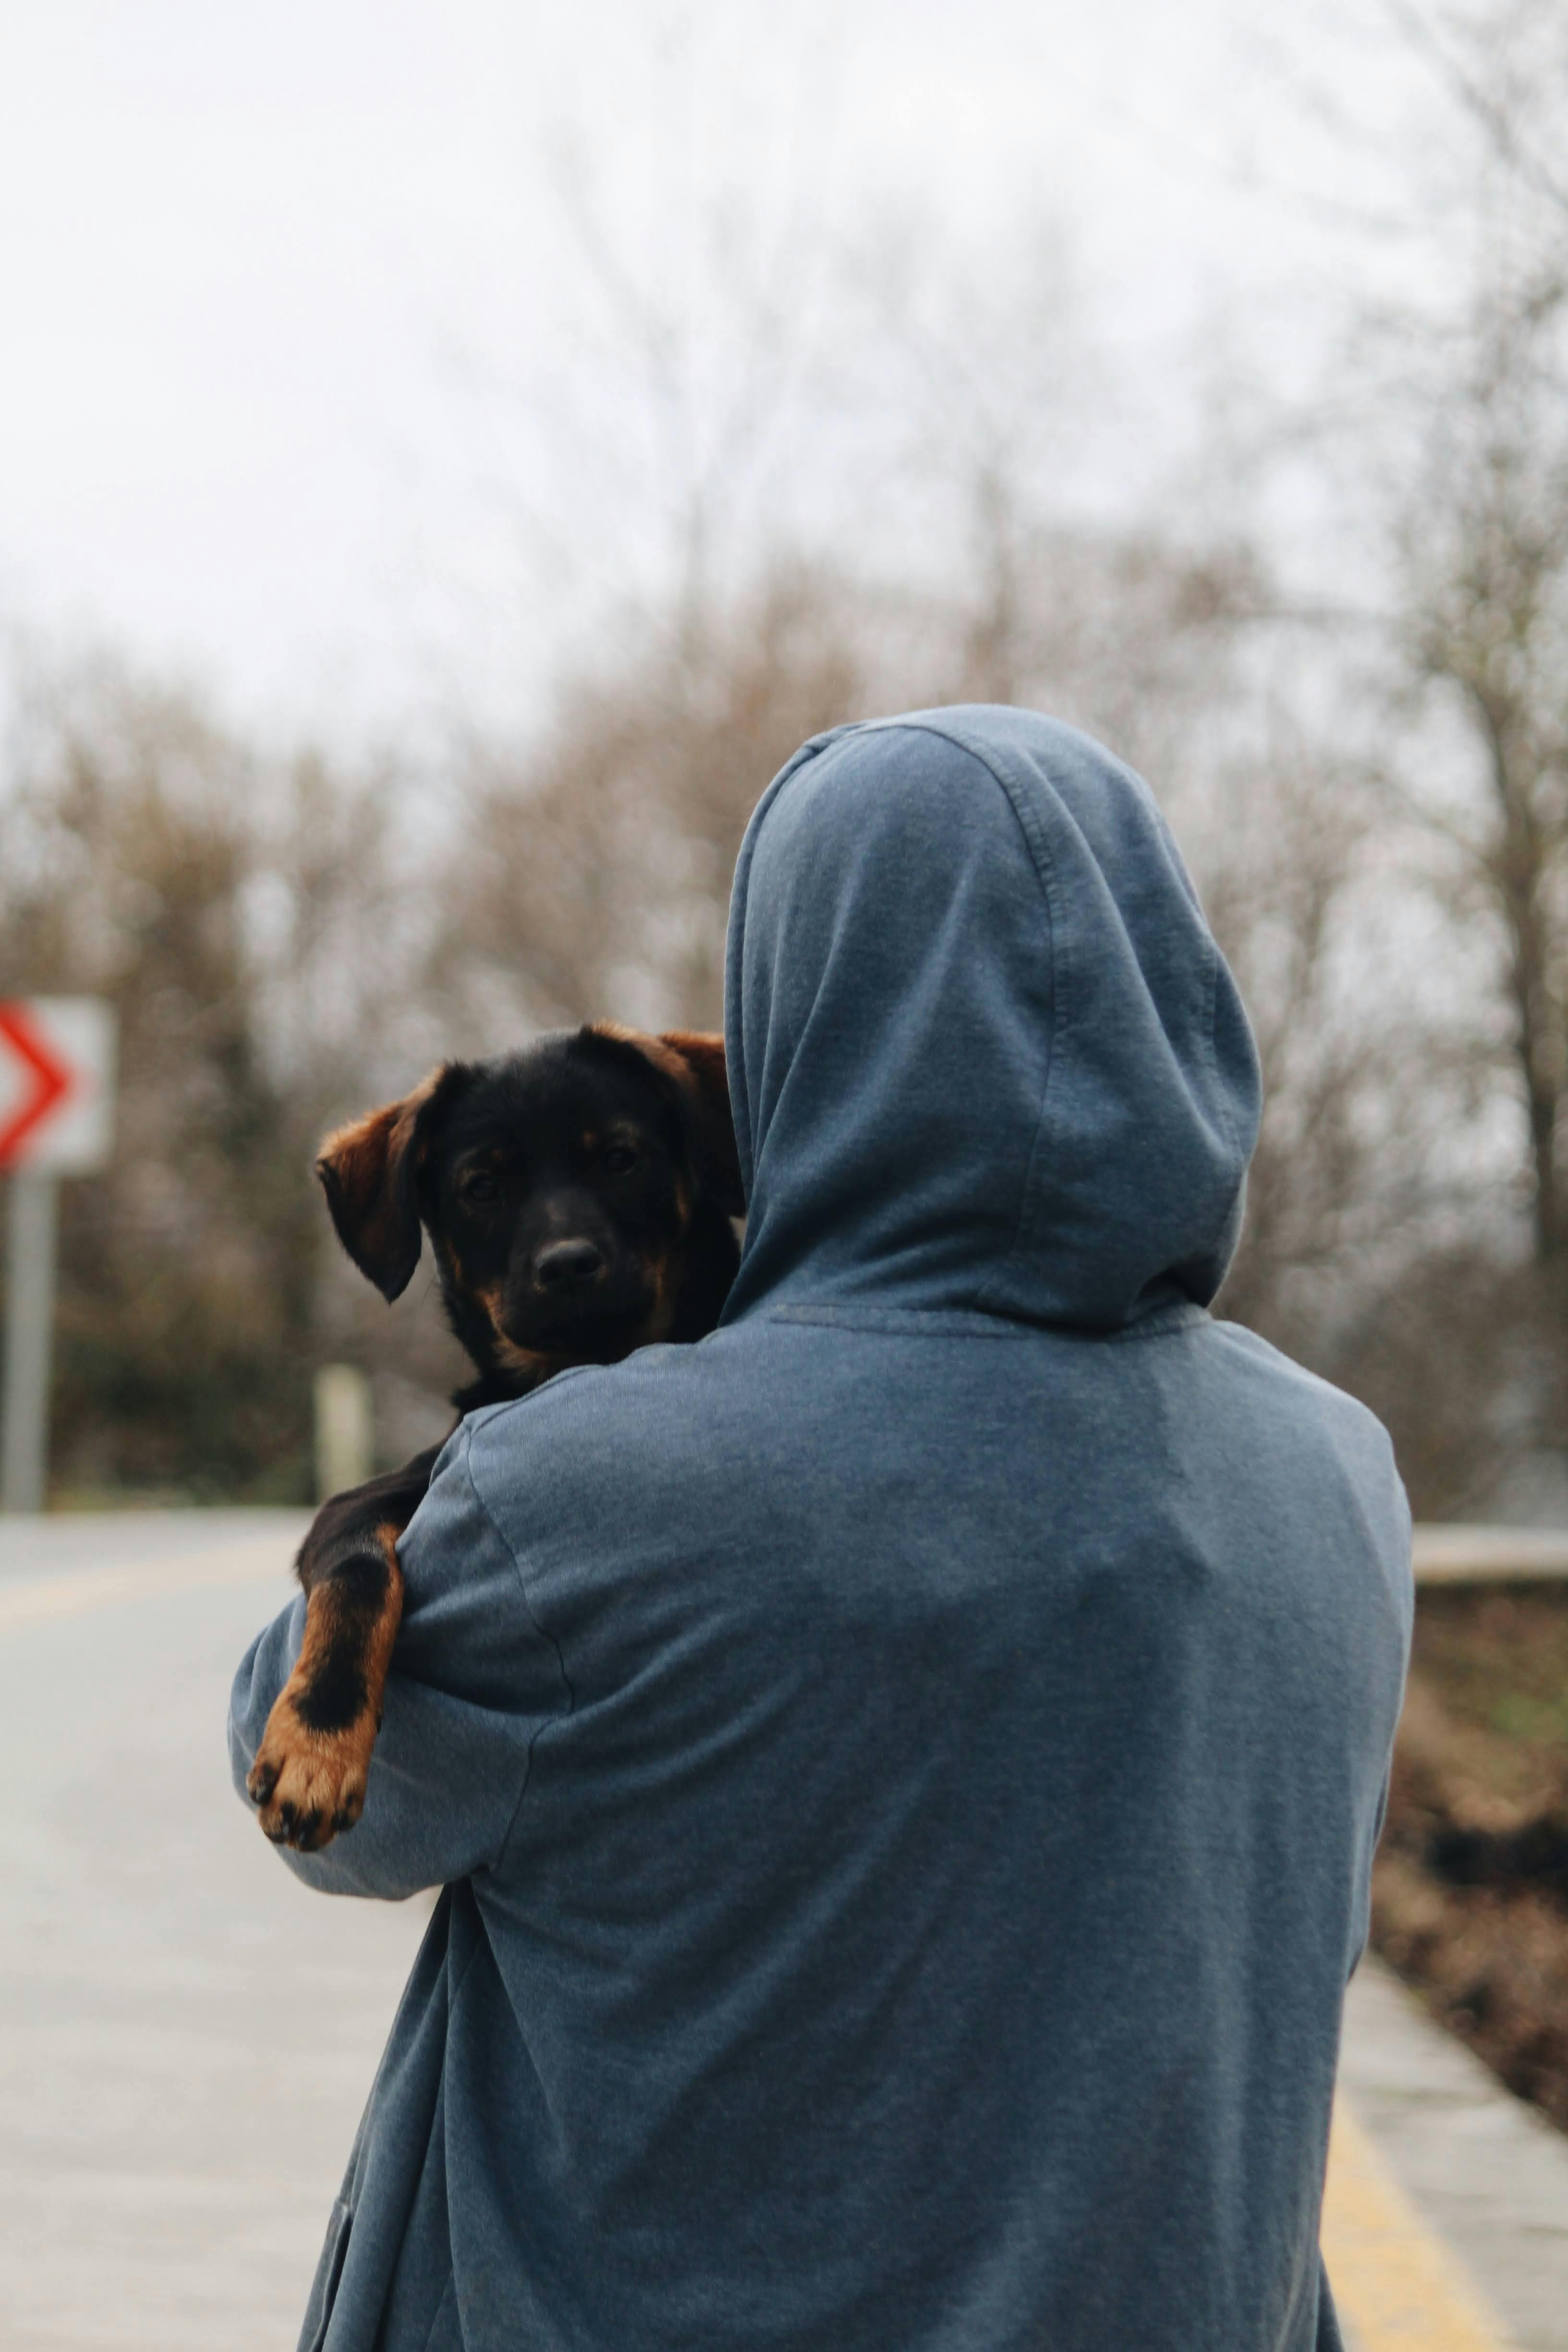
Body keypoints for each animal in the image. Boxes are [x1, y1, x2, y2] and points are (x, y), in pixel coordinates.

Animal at [248, 1020, 747, 1844]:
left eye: (620, 1158)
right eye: (481, 1188)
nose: (568, 1265)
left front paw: (314, 1746)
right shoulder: (351, 1506)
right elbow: (359, 1573)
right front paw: (316, 1742)